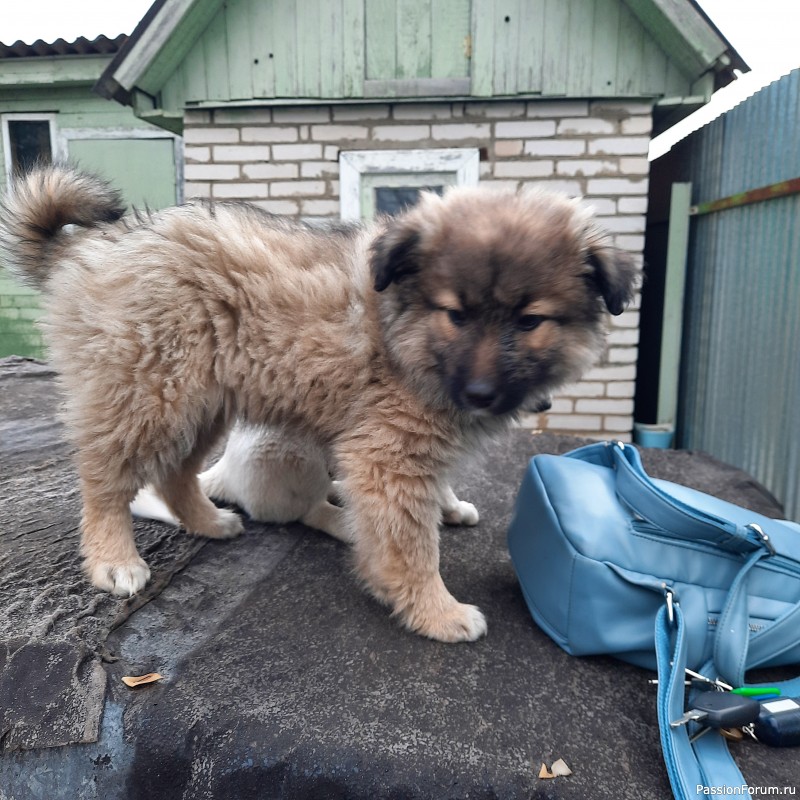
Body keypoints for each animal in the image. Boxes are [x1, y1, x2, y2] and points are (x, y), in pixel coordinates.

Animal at [0, 164, 636, 644]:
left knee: (177, 475)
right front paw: (436, 611)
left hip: (203, 402)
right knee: (108, 479)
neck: (402, 325)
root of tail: (91, 248)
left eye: (530, 321)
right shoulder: (388, 454)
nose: (480, 394)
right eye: (456, 314)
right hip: (149, 393)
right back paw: (114, 557)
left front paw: (448, 509)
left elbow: (429, 503)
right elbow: (411, 545)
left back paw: (209, 522)